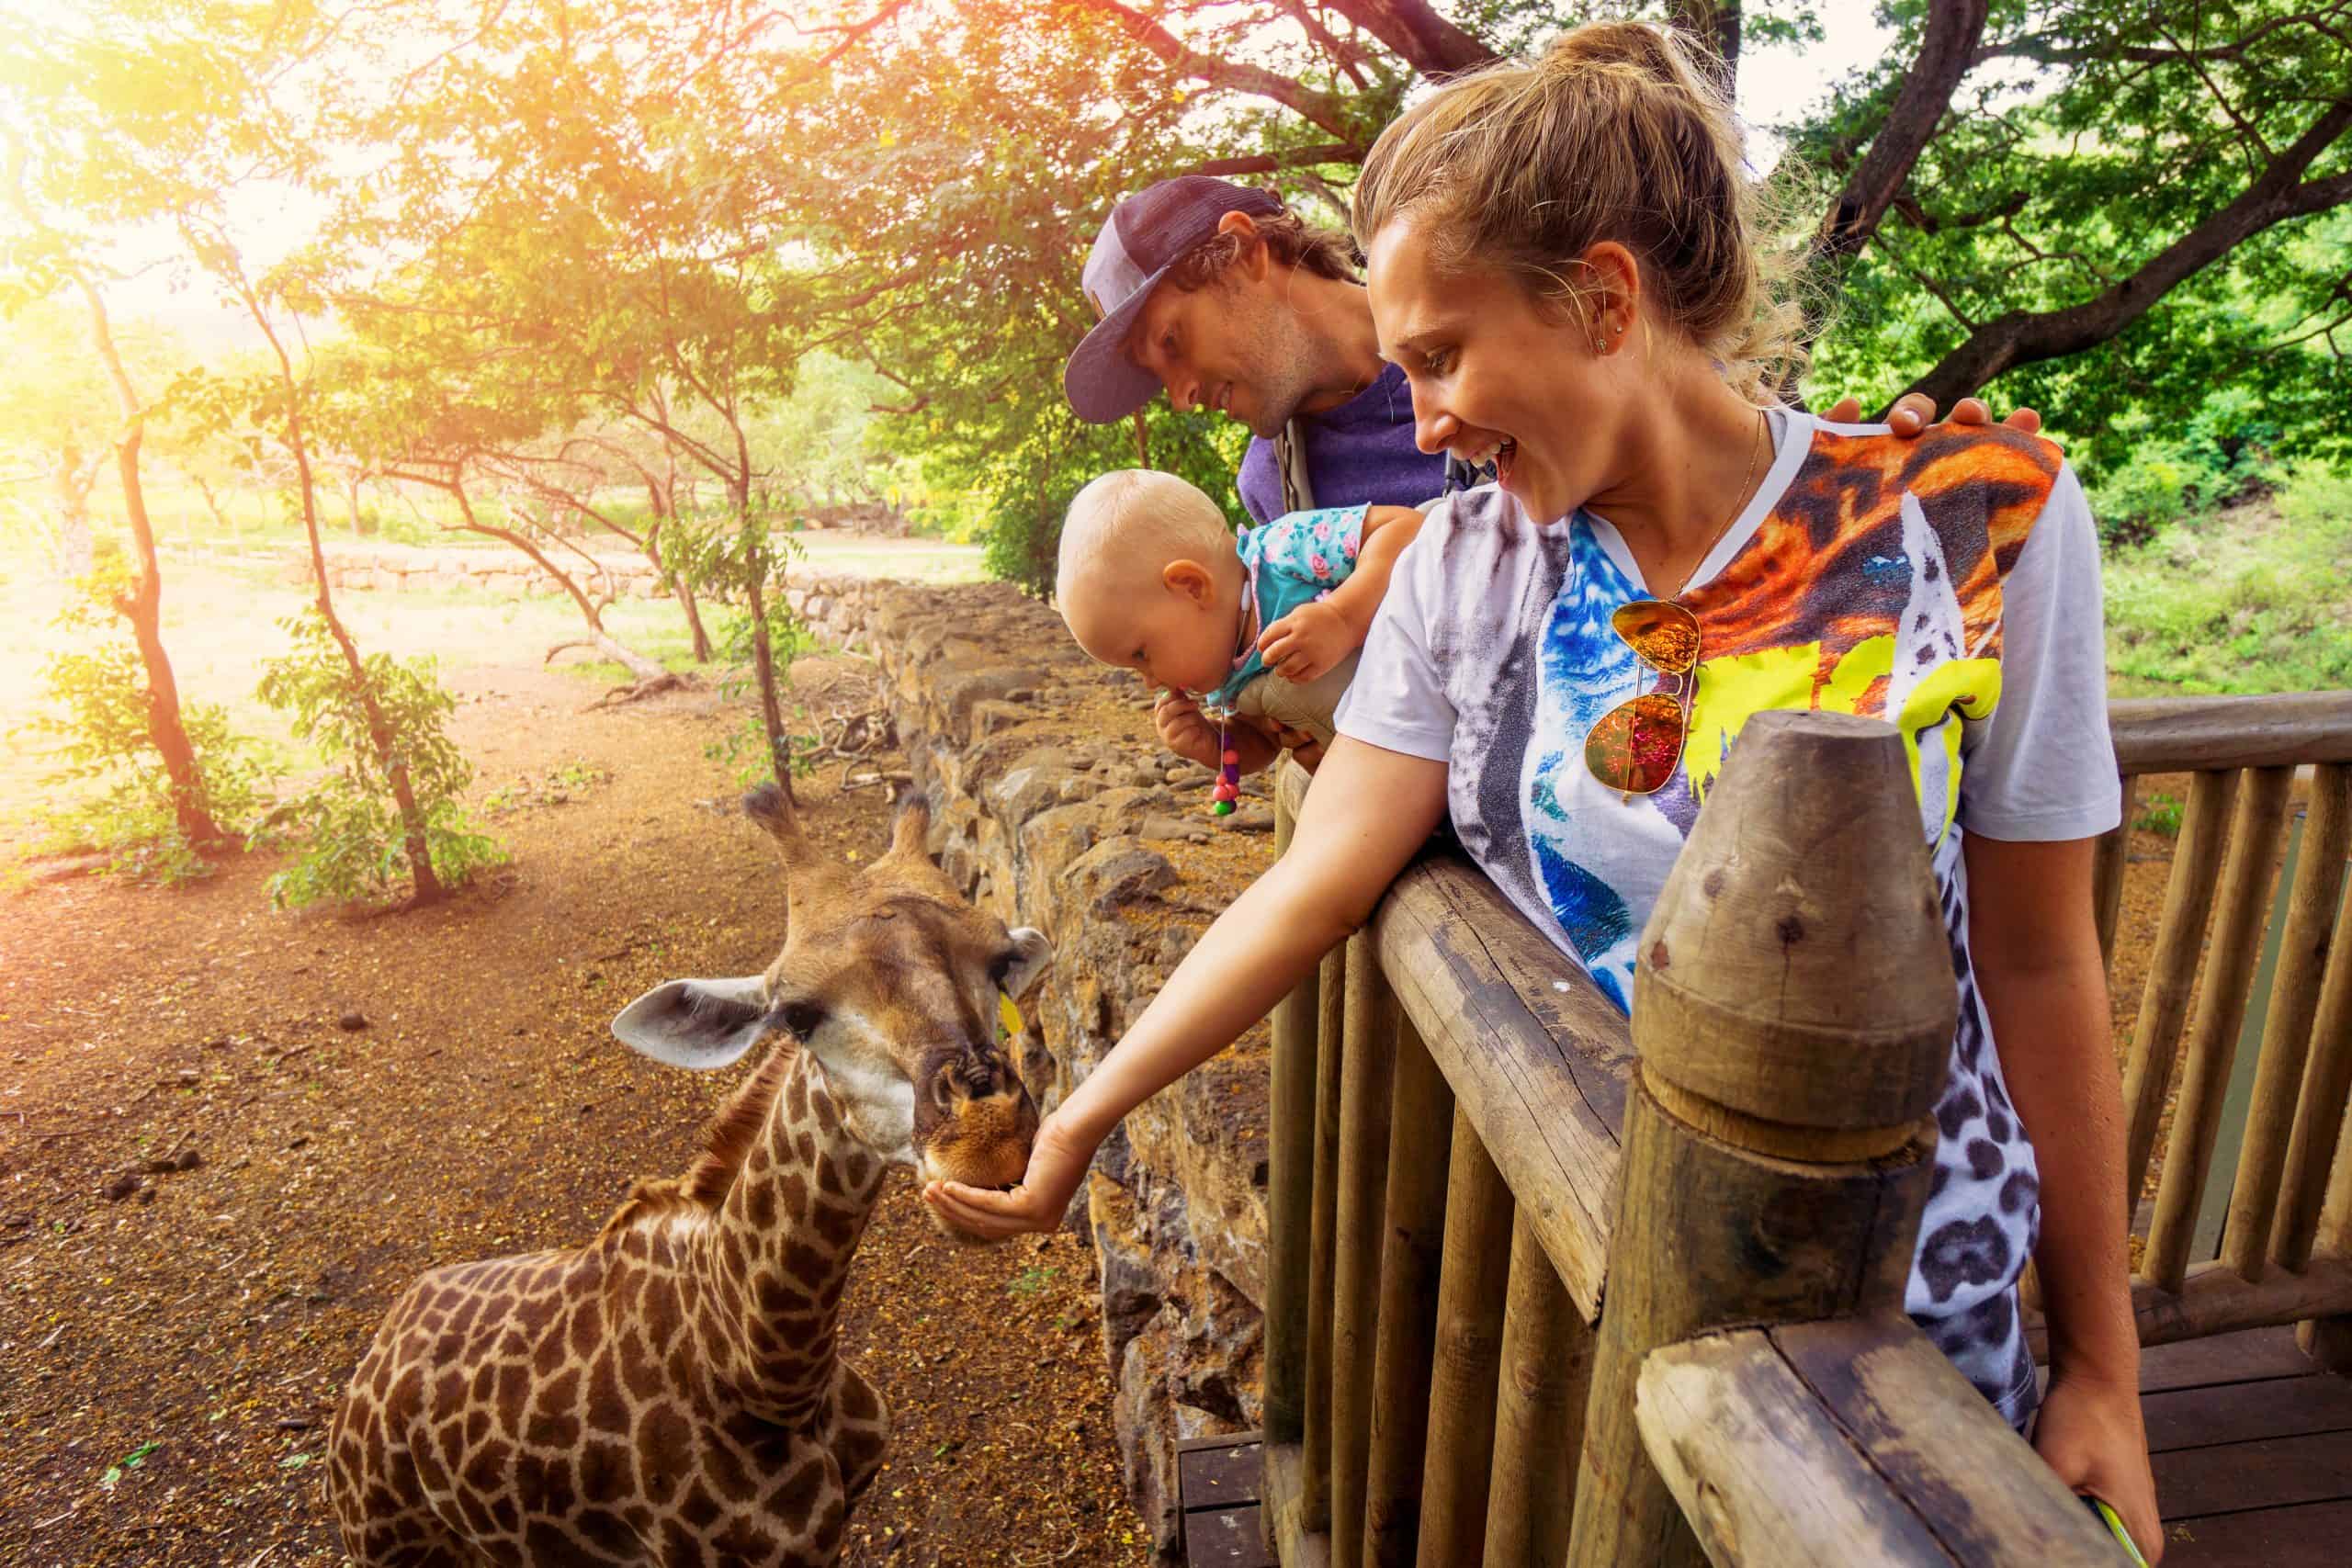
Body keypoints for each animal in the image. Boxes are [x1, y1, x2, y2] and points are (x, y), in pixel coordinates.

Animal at [331, 784, 1058, 1568]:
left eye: (999, 963)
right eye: (797, 1014)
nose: (986, 1143)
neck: (767, 1373)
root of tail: (365, 1371)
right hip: (393, 1546)